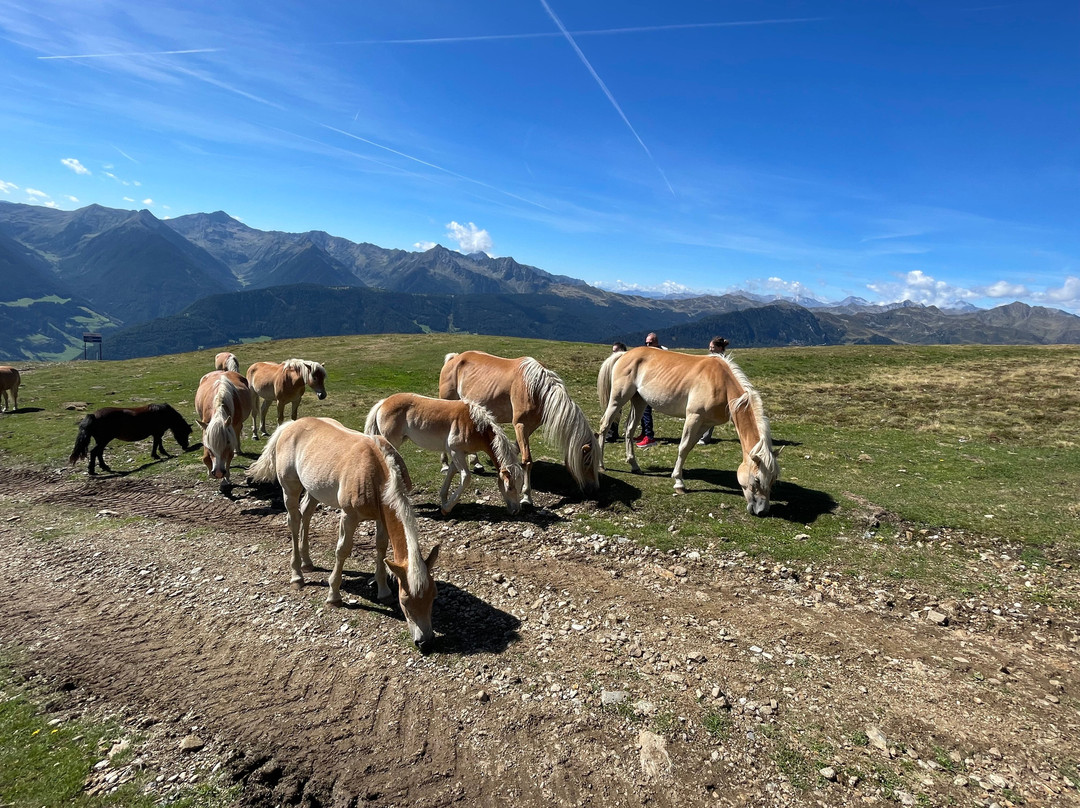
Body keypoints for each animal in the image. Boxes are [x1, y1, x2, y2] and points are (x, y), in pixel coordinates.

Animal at [246, 417, 440, 651]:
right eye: (404, 600)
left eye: (433, 595)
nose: (425, 642)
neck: (377, 471)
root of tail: (291, 425)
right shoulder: (349, 517)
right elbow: (342, 551)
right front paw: (334, 596)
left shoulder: (381, 516)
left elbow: (381, 546)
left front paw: (383, 590)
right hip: (290, 488)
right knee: (294, 521)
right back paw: (297, 575)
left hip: (314, 489)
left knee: (306, 514)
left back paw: (307, 562)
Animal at [364, 392, 525, 516]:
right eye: (510, 487)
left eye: (520, 485)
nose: (516, 511)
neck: (475, 425)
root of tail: (384, 402)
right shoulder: (456, 452)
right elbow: (466, 477)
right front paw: (447, 508)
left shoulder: (458, 455)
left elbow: (450, 474)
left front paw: (444, 502)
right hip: (391, 442)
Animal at [438, 351, 600, 504]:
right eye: (587, 462)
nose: (594, 489)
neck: (536, 388)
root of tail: (455, 358)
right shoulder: (520, 425)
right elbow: (527, 461)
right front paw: (527, 497)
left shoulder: (530, 427)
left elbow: (516, 450)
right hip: (447, 401)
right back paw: (445, 465)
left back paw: (476, 462)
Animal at [596, 346, 780, 515]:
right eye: (757, 480)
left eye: (773, 480)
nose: (762, 511)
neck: (723, 383)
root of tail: (624, 354)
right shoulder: (694, 417)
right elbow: (683, 447)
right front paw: (679, 482)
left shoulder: (705, 423)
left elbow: (689, 447)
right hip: (618, 398)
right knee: (604, 425)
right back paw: (601, 464)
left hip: (639, 401)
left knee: (629, 429)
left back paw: (634, 465)